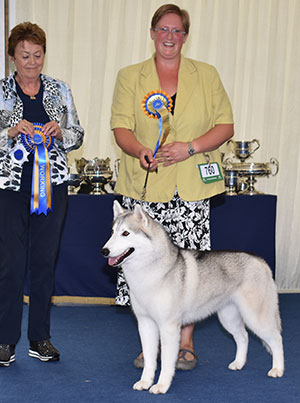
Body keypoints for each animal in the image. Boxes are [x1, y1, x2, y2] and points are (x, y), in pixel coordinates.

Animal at [102, 202, 284, 394]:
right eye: (112, 232)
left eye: (126, 233)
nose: (104, 251)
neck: (149, 272)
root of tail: (261, 261)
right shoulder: (146, 324)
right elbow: (150, 361)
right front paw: (145, 382)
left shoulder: (169, 327)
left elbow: (166, 362)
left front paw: (161, 385)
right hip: (229, 317)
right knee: (243, 337)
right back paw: (239, 363)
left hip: (256, 318)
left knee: (276, 339)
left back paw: (277, 369)